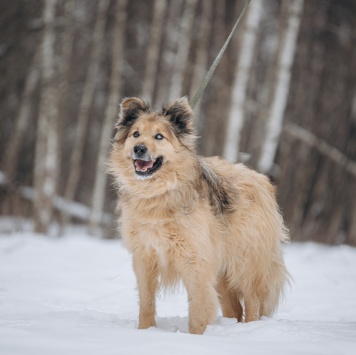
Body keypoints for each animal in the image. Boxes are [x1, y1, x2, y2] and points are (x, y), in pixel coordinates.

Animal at [110, 96, 290, 336]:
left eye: (159, 136)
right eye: (136, 134)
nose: (139, 149)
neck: (159, 193)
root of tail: (261, 180)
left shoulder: (196, 262)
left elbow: (197, 308)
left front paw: (195, 338)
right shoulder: (145, 258)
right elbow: (146, 304)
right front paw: (144, 331)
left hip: (245, 264)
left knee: (252, 302)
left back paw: (250, 330)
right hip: (223, 276)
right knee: (235, 308)